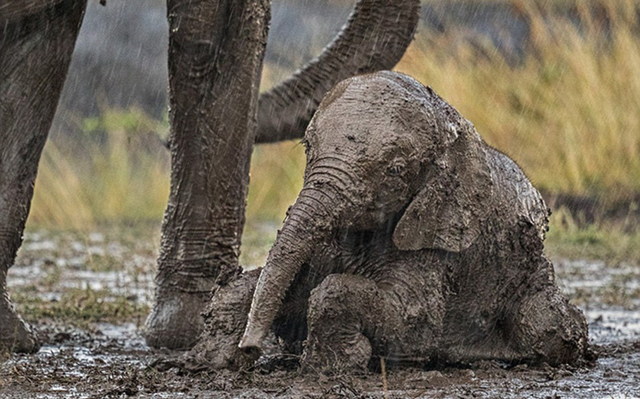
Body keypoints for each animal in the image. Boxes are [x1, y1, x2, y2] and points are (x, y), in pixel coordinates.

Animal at [196, 71, 592, 372]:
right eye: (307, 147)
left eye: (396, 169)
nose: (250, 348)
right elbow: (262, 281)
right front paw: (212, 360)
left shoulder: (436, 240)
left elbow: (410, 319)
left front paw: (332, 365)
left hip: (531, 281)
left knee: (546, 326)